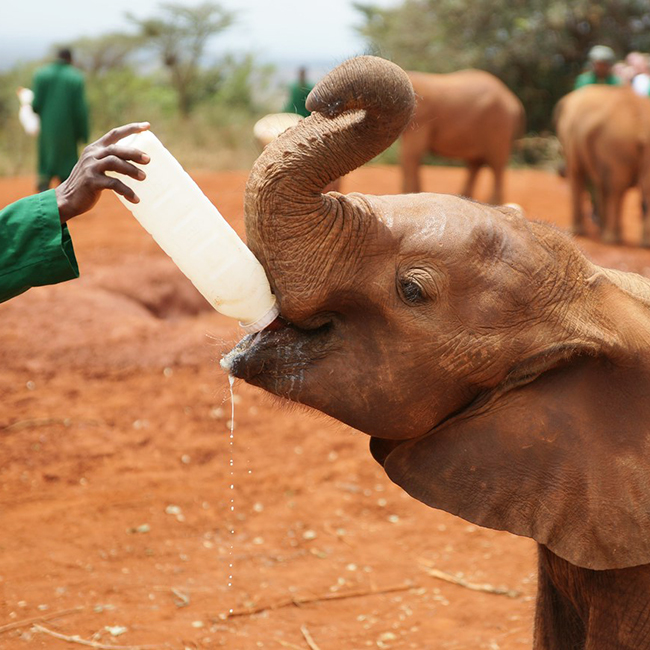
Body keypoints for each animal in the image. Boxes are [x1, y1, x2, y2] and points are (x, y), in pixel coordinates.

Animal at [398, 68, 524, 202]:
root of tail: (516, 103)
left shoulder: (422, 116)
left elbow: (412, 154)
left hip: (500, 125)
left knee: (496, 164)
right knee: (476, 164)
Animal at [552, 85, 648, 247]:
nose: (559, 171)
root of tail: (640, 127)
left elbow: (578, 174)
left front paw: (576, 231)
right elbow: (600, 183)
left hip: (616, 140)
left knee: (616, 188)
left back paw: (611, 239)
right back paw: (638, 243)